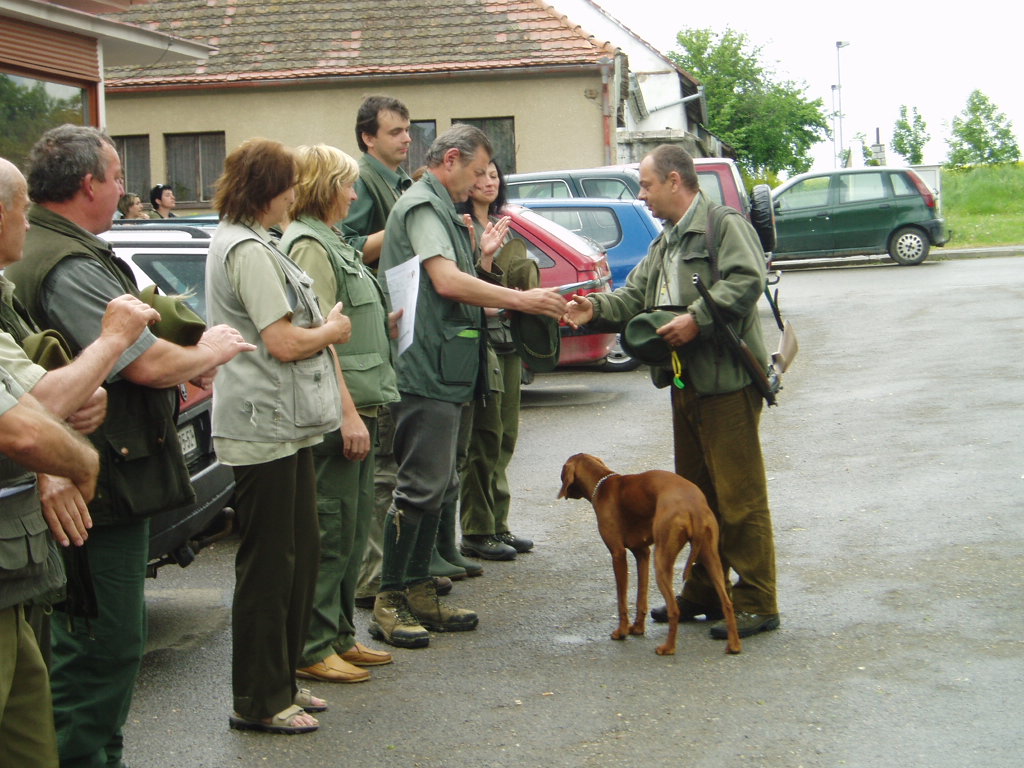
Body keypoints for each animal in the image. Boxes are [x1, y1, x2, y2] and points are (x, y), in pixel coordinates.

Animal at [557, 454, 741, 659]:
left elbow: (622, 600)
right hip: (710, 558)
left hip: (662, 561)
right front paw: (637, 628)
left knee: (674, 610)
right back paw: (733, 645)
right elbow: (641, 596)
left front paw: (621, 632)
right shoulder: (643, 553)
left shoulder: (618, 554)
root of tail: (694, 506)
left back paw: (668, 648)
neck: (602, 482)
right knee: (727, 603)